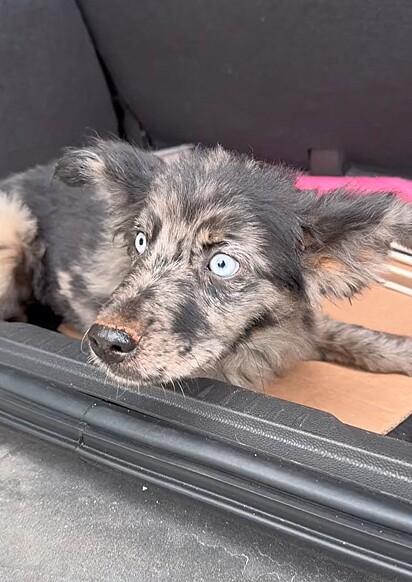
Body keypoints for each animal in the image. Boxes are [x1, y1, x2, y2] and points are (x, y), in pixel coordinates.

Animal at [0, 139, 412, 390]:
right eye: (141, 241)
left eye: (222, 264)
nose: (104, 341)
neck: (252, 340)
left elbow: (339, 331)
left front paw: (401, 351)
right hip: (12, 224)